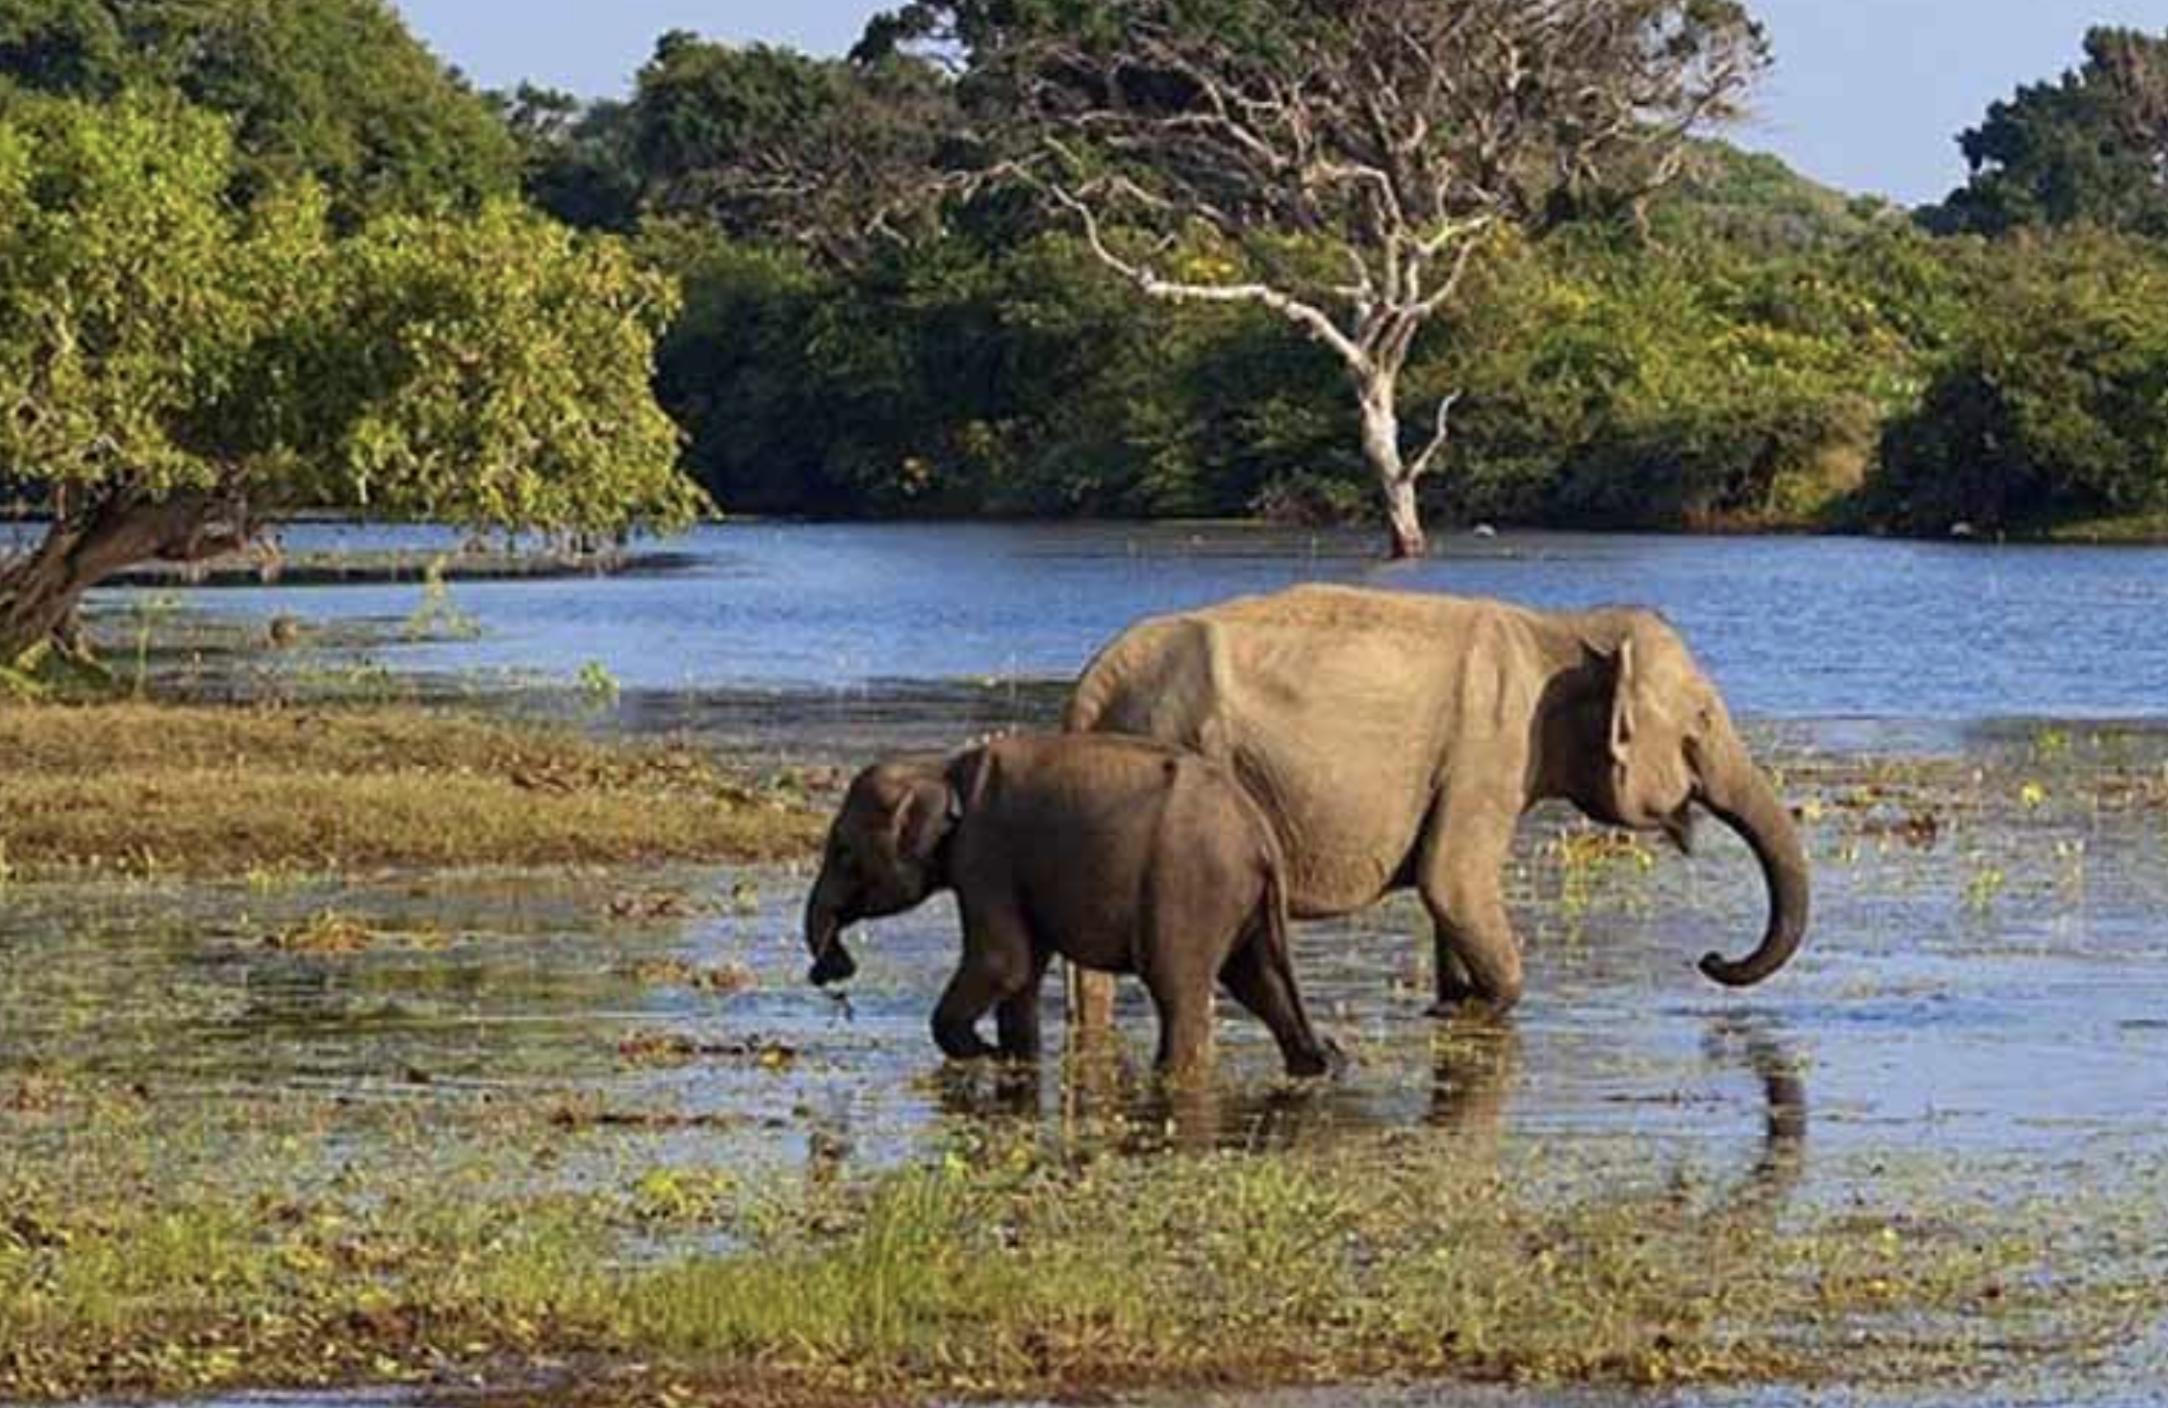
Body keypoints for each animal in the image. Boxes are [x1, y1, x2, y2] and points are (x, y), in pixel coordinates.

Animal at [806, 737, 1326, 1076]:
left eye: (844, 854)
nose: (833, 970)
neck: (942, 767)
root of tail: (1261, 835)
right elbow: (1022, 976)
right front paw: (1014, 1059)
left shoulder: (985, 855)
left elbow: (1002, 963)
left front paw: (986, 1054)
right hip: (1240, 903)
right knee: (1261, 983)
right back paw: (1319, 1065)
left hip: (1190, 886)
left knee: (1178, 991)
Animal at [1057, 581, 1803, 1010]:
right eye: (1701, 721)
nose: (1709, 959)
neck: (1560, 626)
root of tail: (1092, 685)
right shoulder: (1489, 748)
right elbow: (1453, 881)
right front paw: (1480, 1004)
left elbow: (1449, 897)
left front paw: (1451, 1000)